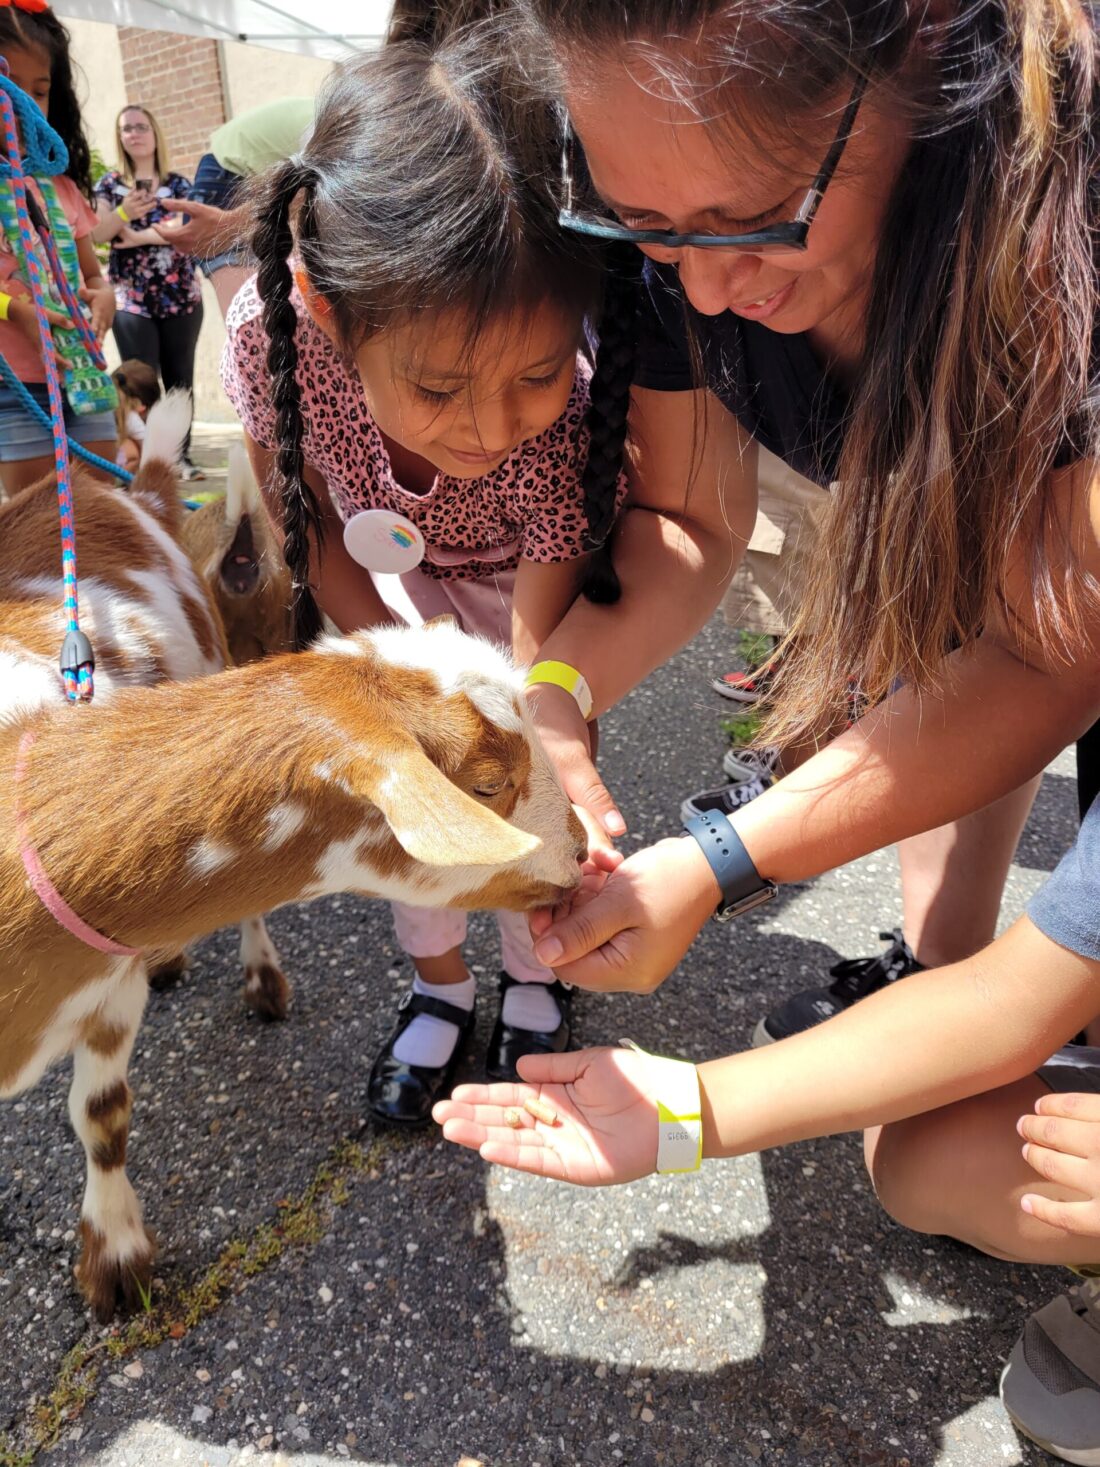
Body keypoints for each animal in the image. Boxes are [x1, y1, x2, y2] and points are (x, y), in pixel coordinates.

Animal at [0, 399, 586, 1320]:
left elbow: (101, 1110)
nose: (587, 848)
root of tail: (128, 486)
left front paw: (117, 1262)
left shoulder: (105, 982)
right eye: (490, 784)